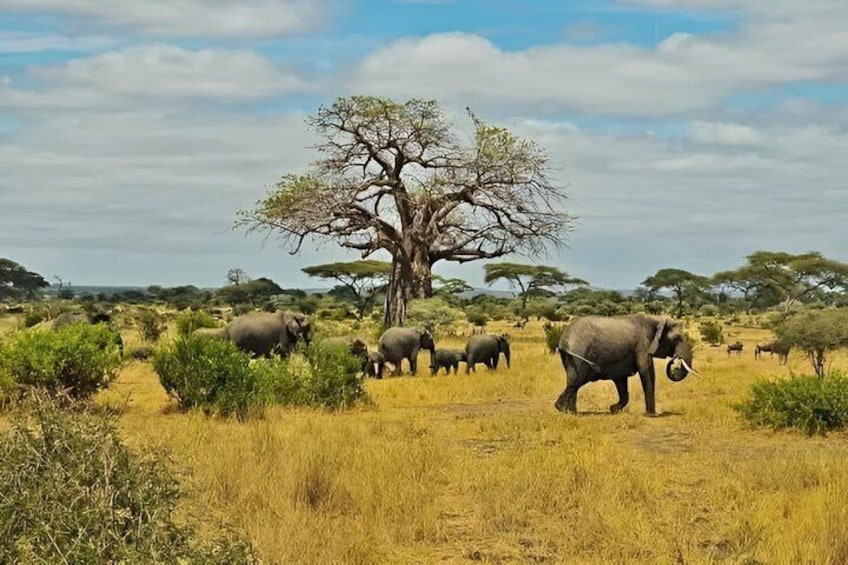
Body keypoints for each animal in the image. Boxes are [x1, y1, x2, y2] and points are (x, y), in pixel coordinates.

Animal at [555, 314, 695, 415]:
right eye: (677, 338)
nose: (675, 362)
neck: (656, 319)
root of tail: (564, 340)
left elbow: (621, 380)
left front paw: (613, 409)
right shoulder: (643, 346)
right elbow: (647, 372)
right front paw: (651, 415)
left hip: (572, 356)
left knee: (573, 379)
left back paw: (571, 412)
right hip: (580, 353)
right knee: (578, 380)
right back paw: (561, 408)